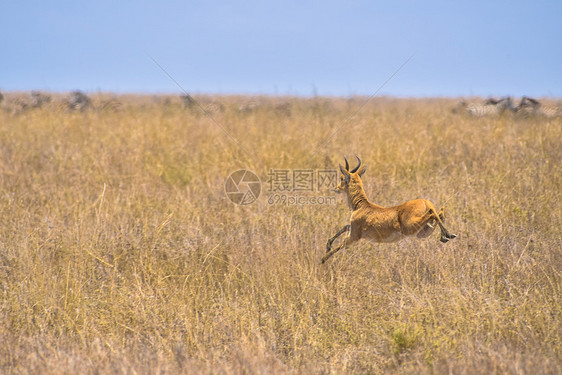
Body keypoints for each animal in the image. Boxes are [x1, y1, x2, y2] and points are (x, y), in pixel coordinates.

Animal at [320, 156, 456, 264]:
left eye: (342, 178)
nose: (336, 188)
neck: (361, 206)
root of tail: (425, 202)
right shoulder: (353, 229)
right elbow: (345, 226)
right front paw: (328, 245)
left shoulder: (354, 236)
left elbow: (341, 244)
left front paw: (323, 258)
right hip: (423, 232)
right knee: (440, 213)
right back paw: (447, 236)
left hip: (412, 227)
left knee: (433, 213)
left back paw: (447, 235)